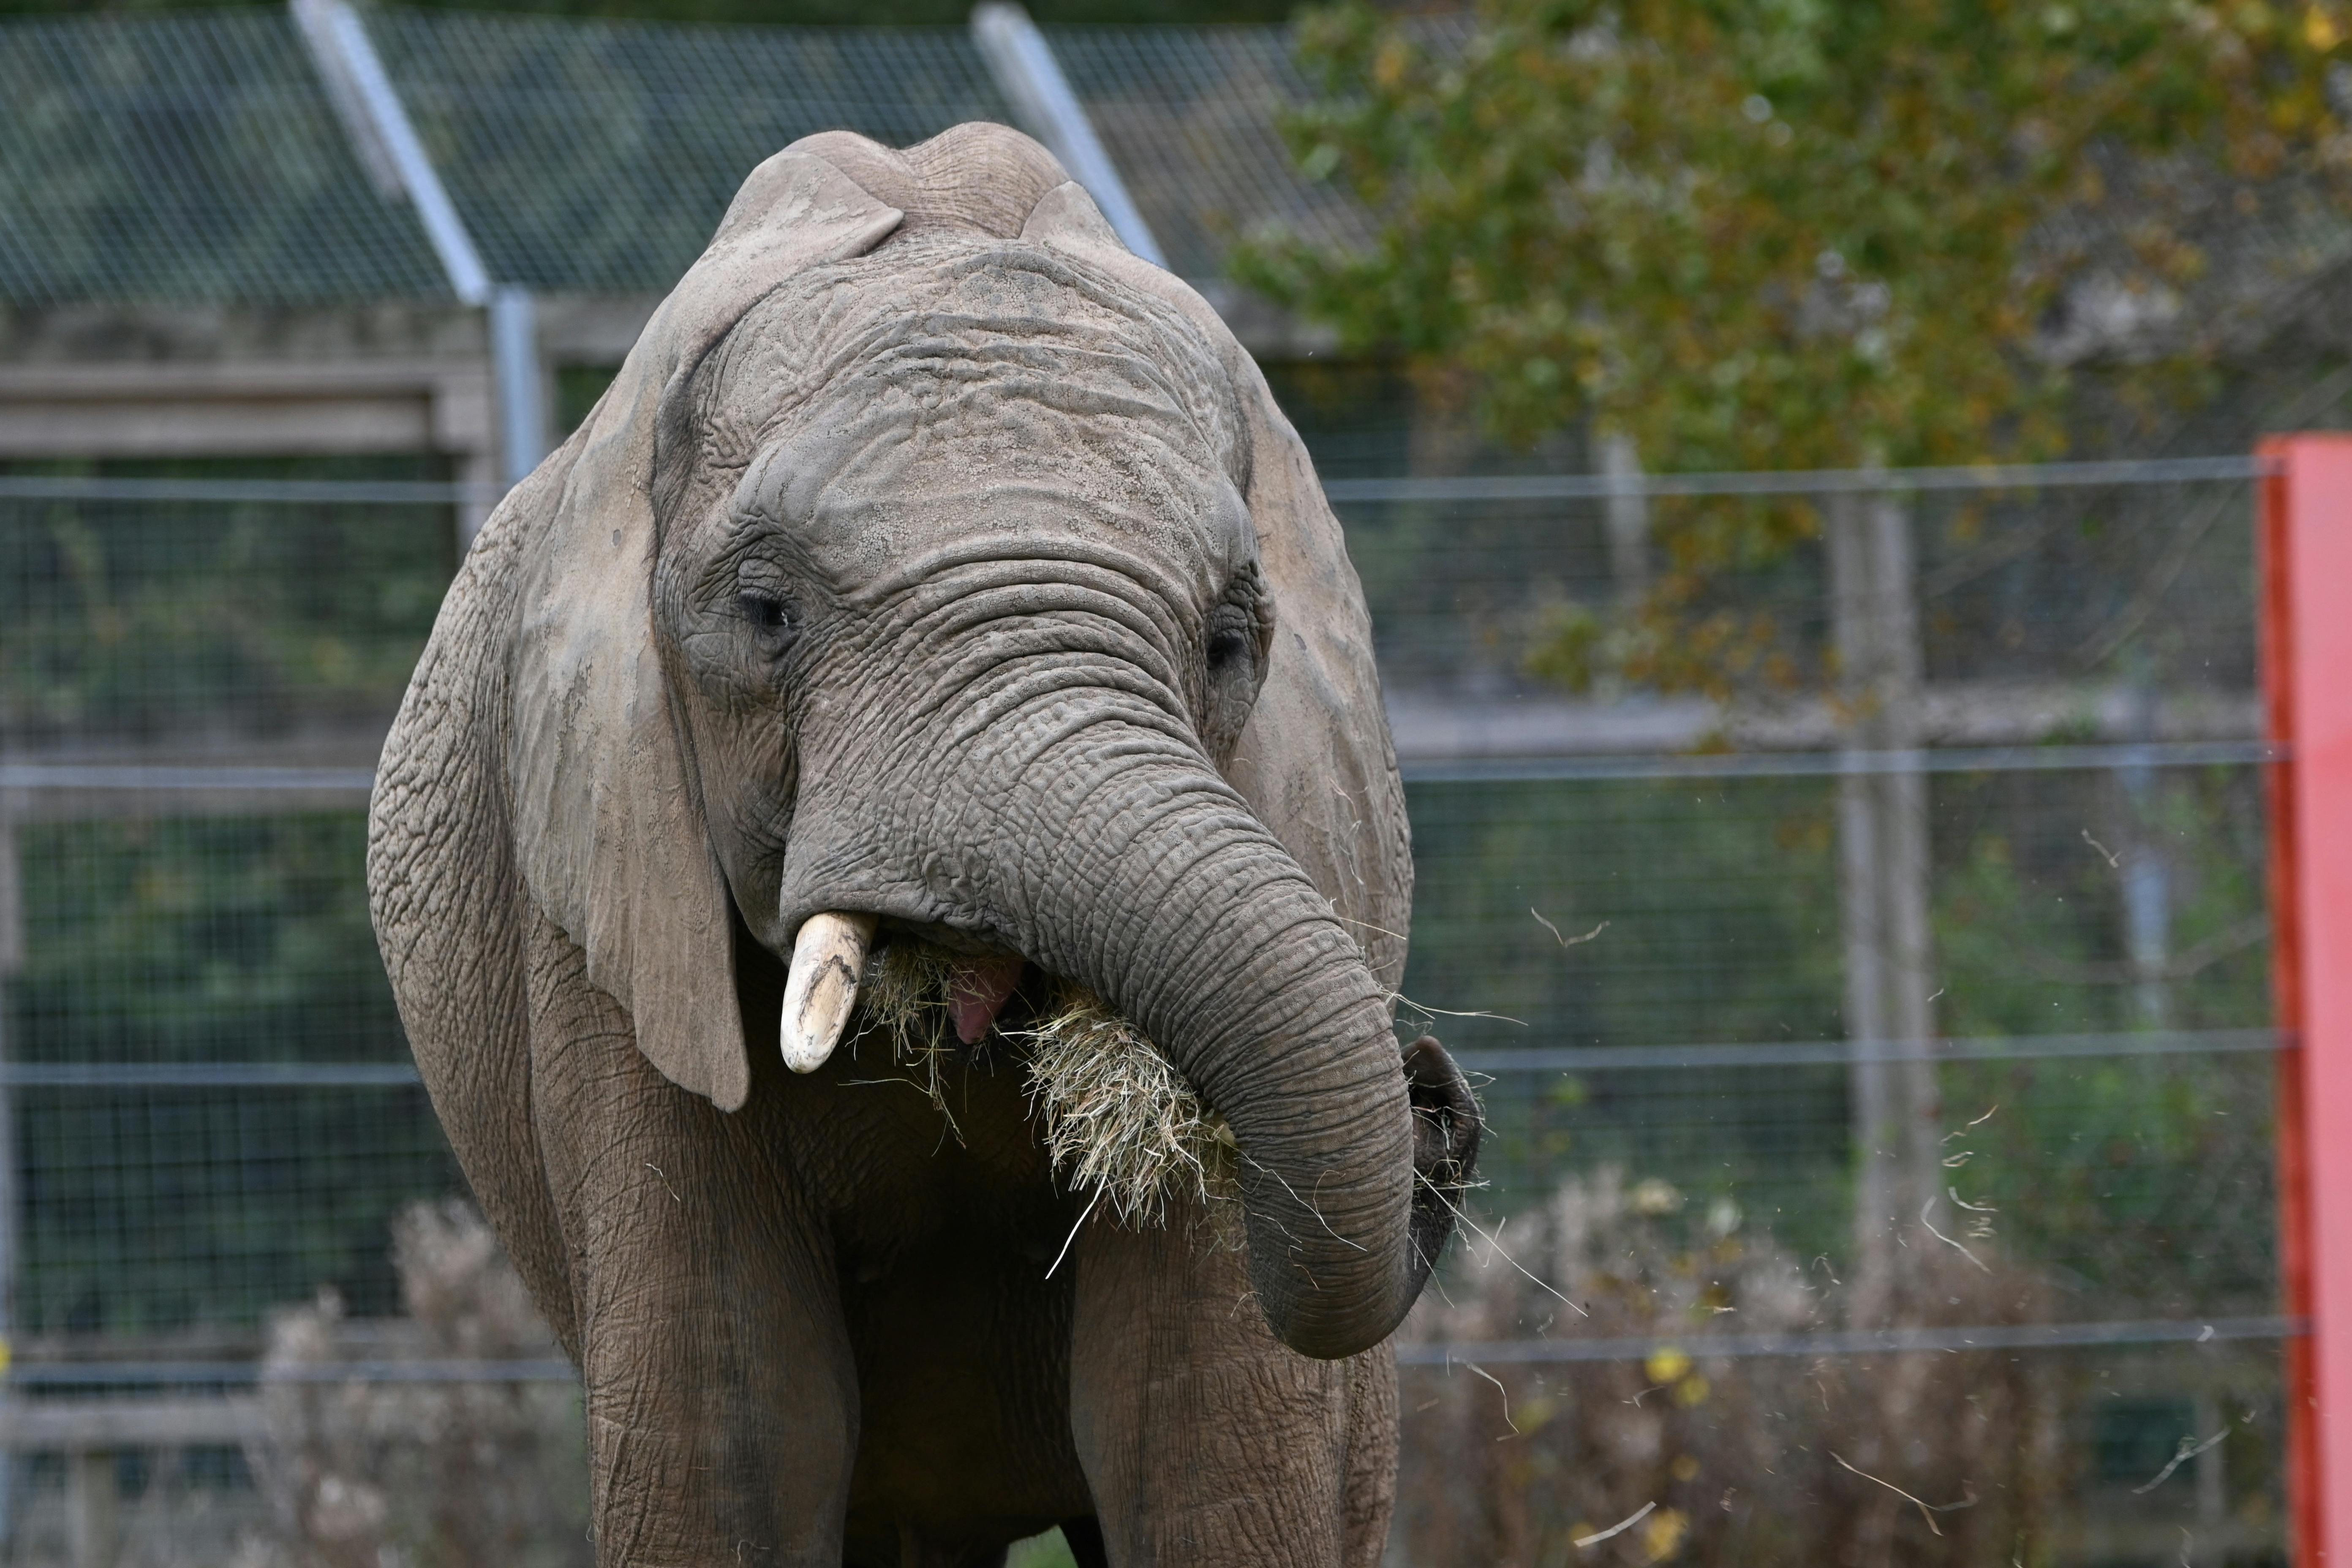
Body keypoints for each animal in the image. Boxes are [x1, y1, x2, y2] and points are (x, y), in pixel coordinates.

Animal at [362, 125, 1467, 1568]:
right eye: (765, 614)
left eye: (1231, 639)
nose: (1433, 1096)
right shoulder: (602, 893)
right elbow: (734, 1437)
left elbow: (1197, 1439)